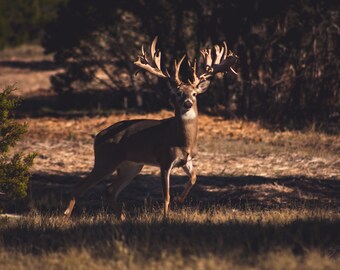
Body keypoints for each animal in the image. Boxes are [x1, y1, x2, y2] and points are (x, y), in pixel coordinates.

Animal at [64, 37, 239, 219]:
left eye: (194, 93)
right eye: (178, 93)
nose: (188, 103)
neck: (183, 140)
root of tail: (98, 136)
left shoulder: (187, 160)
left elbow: (194, 178)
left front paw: (179, 200)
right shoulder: (165, 159)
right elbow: (166, 194)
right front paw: (166, 217)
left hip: (131, 165)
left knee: (110, 190)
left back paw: (122, 217)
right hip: (106, 160)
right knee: (79, 186)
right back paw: (66, 215)